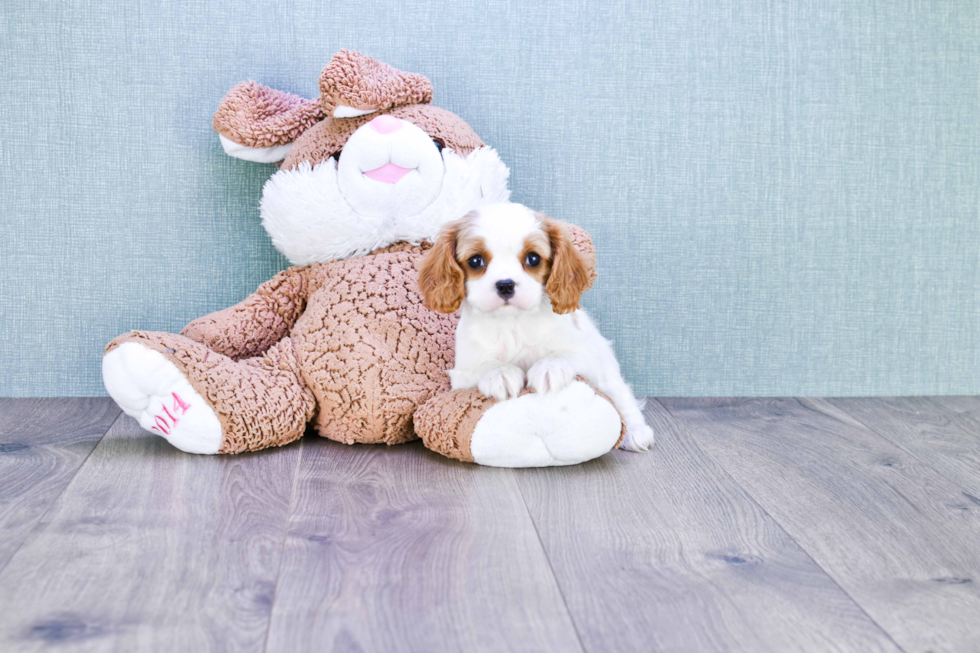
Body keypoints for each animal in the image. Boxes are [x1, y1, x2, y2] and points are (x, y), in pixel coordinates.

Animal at [418, 201, 656, 450]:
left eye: (533, 259)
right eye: (475, 261)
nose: (505, 285)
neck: (512, 323)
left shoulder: (587, 355)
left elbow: (563, 355)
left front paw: (549, 368)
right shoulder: (463, 373)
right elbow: (485, 365)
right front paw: (500, 373)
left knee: (621, 395)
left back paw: (636, 432)